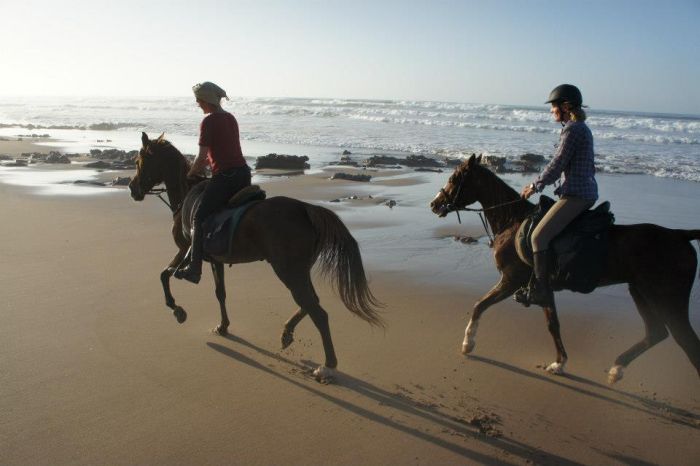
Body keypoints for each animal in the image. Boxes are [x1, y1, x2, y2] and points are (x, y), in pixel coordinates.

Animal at [130, 133, 382, 380]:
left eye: (139, 161)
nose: (133, 189)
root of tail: (305, 209)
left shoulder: (185, 249)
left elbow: (165, 274)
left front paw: (177, 310)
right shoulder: (214, 260)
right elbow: (219, 292)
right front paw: (222, 326)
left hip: (288, 271)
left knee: (317, 312)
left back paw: (327, 366)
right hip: (299, 270)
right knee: (309, 303)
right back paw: (287, 333)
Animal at [430, 155, 696, 384]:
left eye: (454, 178)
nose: (434, 204)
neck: (513, 221)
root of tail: (681, 235)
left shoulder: (511, 281)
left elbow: (479, 305)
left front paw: (468, 343)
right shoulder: (542, 288)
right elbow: (553, 324)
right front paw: (559, 363)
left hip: (668, 299)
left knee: (687, 342)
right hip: (640, 292)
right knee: (656, 333)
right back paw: (617, 369)